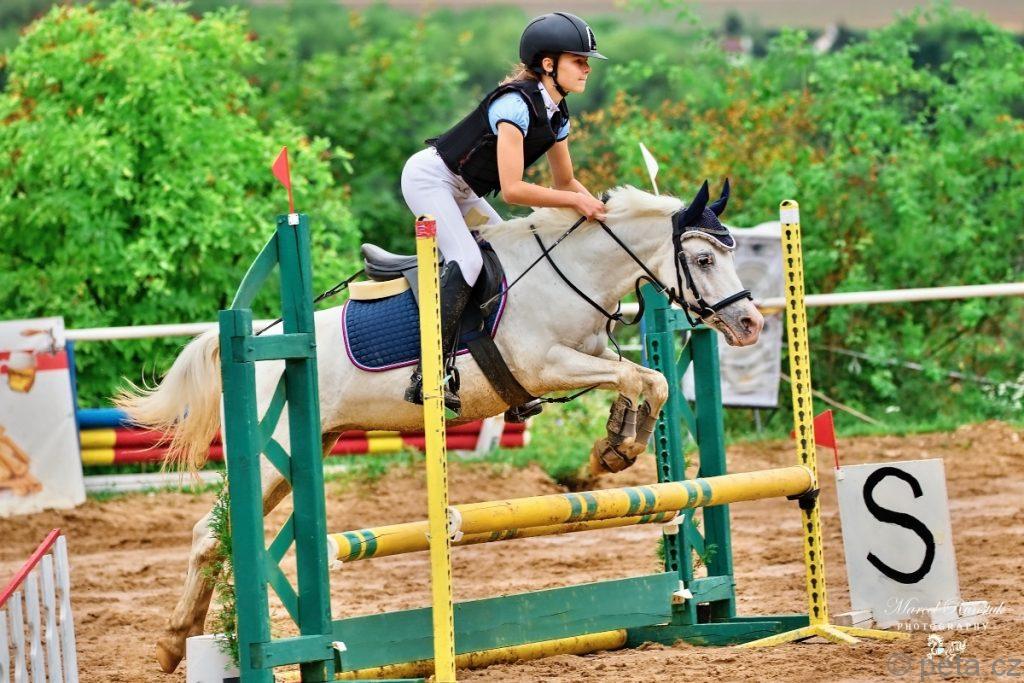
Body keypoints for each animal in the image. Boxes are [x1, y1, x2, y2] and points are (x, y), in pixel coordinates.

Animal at [116, 180, 764, 673]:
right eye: (704, 259)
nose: (751, 324)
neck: (568, 273)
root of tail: (254, 340)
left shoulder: (589, 354)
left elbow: (645, 380)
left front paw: (617, 445)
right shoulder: (545, 365)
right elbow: (639, 378)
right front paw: (618, 448)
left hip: (300, 455)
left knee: (214, 533)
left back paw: (179, 644)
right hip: (269, 454)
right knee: (209, 531)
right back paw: (181, 644)